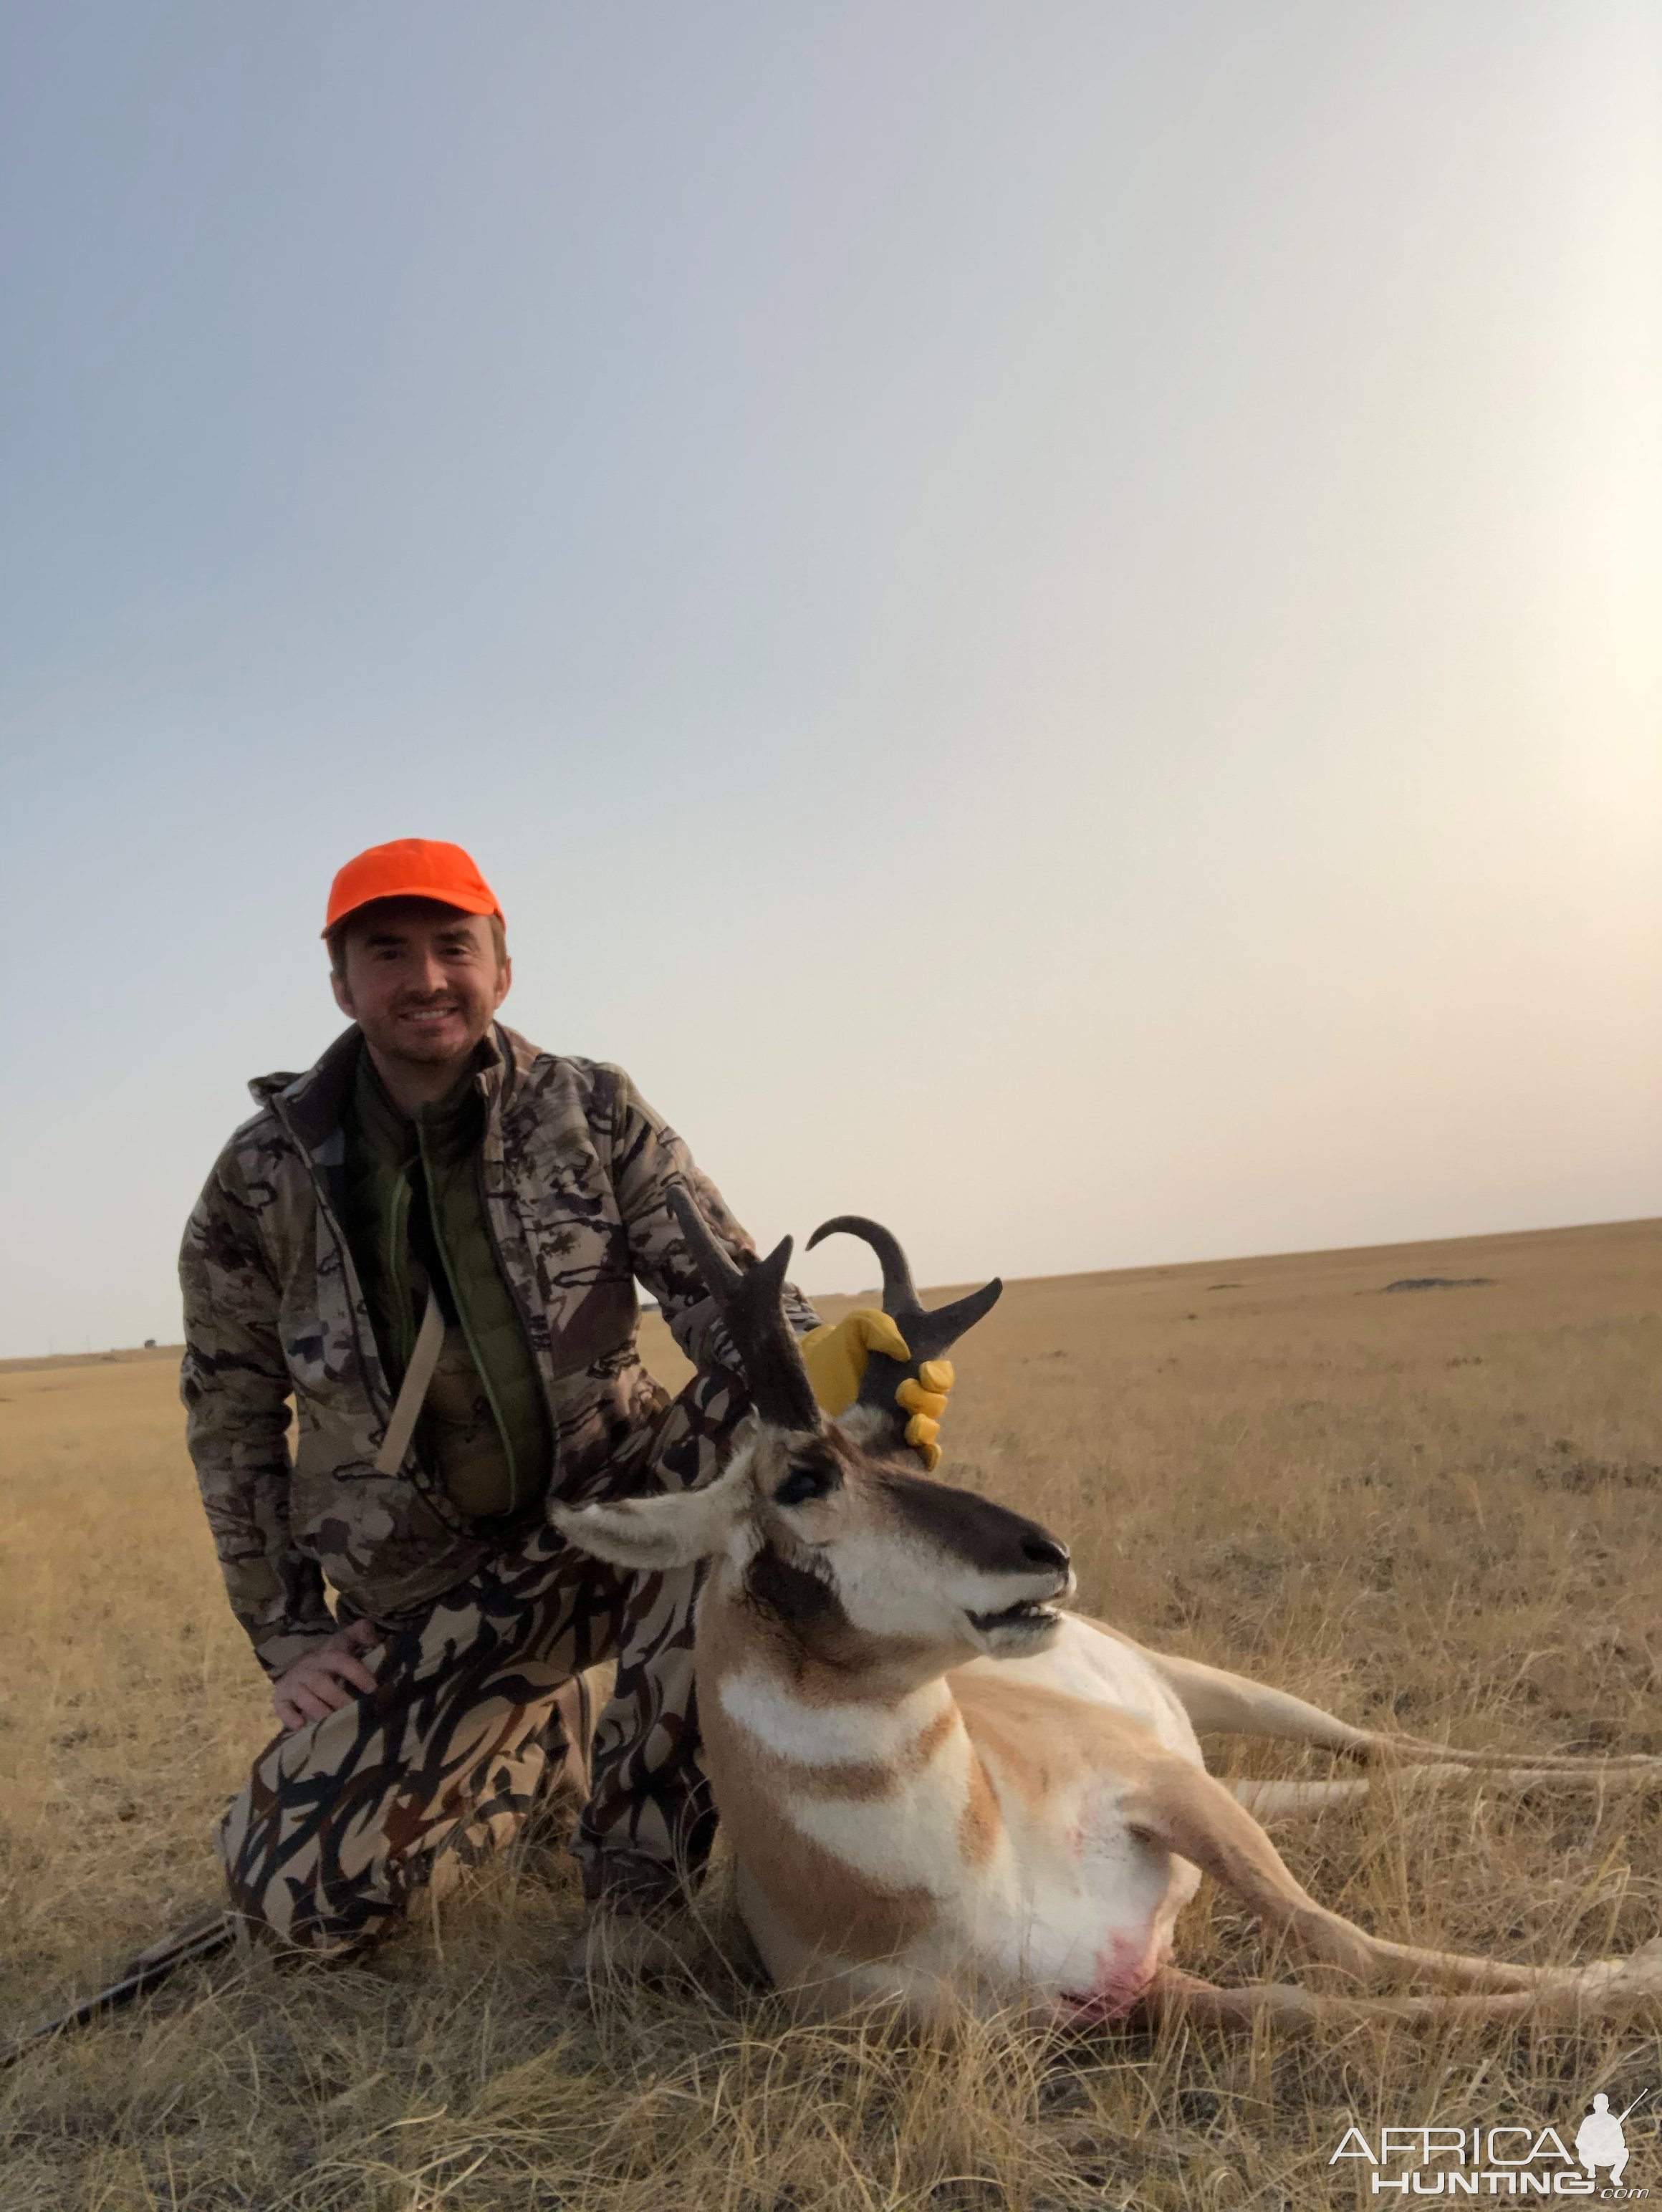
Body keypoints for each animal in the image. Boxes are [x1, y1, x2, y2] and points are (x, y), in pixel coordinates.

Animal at [562, 1203, 1662, 2026]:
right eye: (802, 1478)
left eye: (908, 1451)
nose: (1047, 1554)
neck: (971, 1884)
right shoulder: (1135, 1990)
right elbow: (1305, 2000)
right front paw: (1627, 1972)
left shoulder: (1163, 1791)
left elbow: (1337, 1940)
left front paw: (1628, 1971)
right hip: (1234, 1779)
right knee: (1377, 1783)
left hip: (1220, 1707)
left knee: (1386, 1748)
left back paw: (1630, 1770)